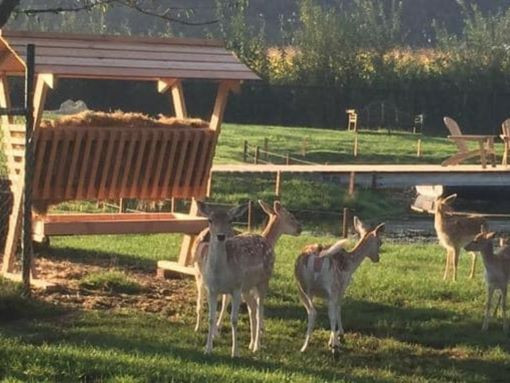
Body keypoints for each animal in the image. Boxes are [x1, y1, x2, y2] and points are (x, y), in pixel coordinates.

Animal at [292, 219, 384, 354]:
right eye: (380, 242)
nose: (377, 258)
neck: (351, 265)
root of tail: (317, 255)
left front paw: (335, 338)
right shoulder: (342, 287)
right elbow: (338, 309)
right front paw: (339, 336)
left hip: (301, 286)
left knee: (311, 311)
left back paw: (304, 347)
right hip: (331, 286)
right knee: (328, 312)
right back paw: (334, 347)